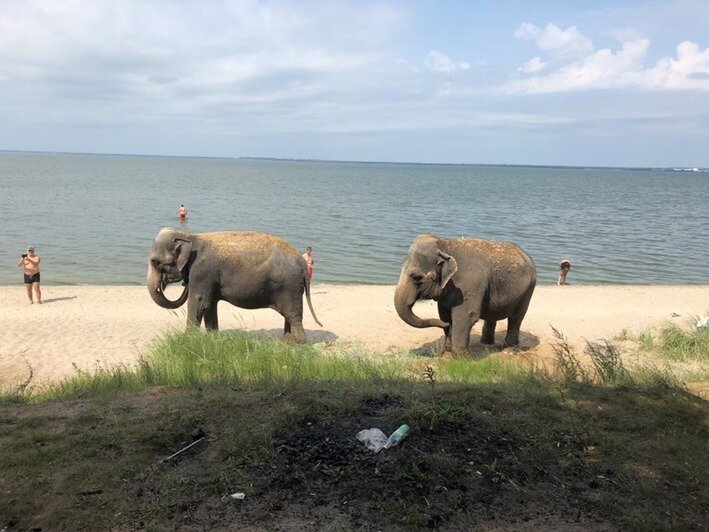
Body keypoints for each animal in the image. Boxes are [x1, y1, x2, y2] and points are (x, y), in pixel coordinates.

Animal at [147, 227, 320, 342]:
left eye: (155, 261)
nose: (163, 283)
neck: (189, 236)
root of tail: (301, 261)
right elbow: (210, 305)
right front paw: (213, 337)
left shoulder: (202, 271)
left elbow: (199, 302)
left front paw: (187, 339)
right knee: (288, 315)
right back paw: (286, 340)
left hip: (290, 286)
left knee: (292, 314)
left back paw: (296, 343)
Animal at [392, 235, 536, 356]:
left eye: (417, 278)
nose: (446, 326)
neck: (445, 245)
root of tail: (526, 254)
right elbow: (444, 314)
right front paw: (447, 351)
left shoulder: (470, 284)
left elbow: (465, 316)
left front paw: (462, 358)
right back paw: (486, 344)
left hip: (528, 289)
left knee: (516, 318)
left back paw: (510, 350)